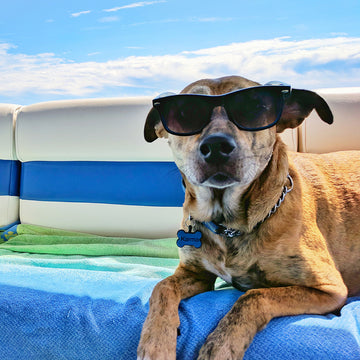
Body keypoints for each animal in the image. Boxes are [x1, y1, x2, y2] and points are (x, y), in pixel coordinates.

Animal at [137, 74, 360, 358]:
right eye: (185, 112)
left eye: (254, 107)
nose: (216, 146)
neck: (228, 223)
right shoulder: (196, 274)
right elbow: (162, 287)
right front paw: (154, 344)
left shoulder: (329, 289)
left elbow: (253, 296)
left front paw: (219, 348)